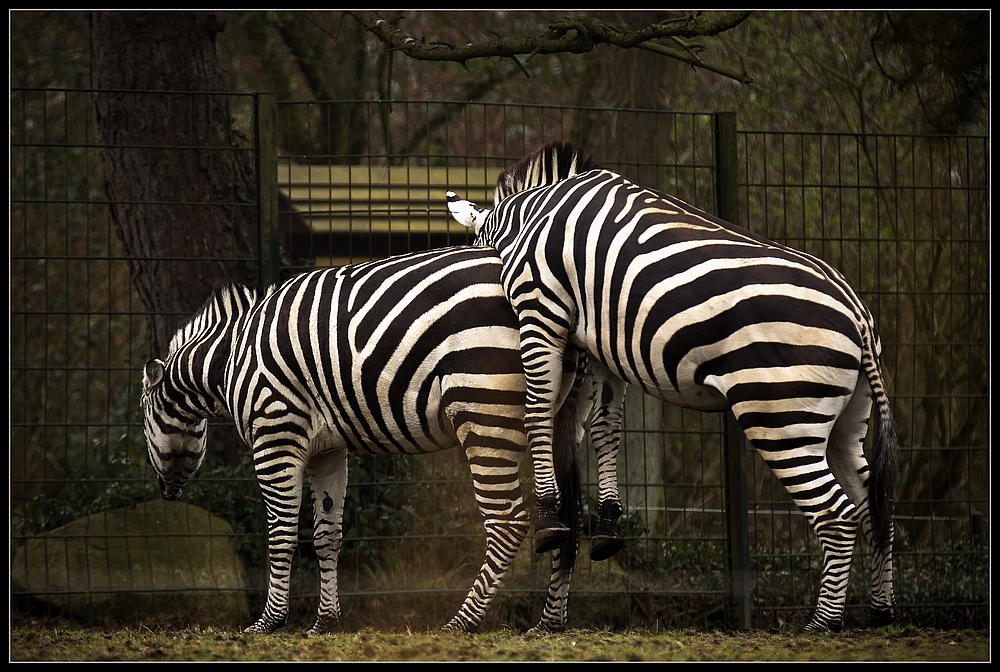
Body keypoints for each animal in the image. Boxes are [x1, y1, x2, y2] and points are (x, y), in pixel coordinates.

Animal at [137, 244, 612, 632]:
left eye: (143, 418)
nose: (167, 492)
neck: (230, 358)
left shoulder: (276, 432)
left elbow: (281, 532)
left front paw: (270, 622)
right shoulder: (328, 449)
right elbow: (327, 534)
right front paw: (325, 622)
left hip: (482, 407)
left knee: (508, 522)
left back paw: (461, 622)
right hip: (561, 416)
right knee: (569, 515)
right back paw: (550, 623)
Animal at [446, 139, 900, 632]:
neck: (528, 216)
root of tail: (857, 313)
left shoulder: (541, 308)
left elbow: (539, 410)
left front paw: (549, 519)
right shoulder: (603, 339)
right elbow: (606, 428)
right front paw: (608, 527)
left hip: (782, 415)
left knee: (837, 516)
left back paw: (822, 624)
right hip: (843, 420)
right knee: (873, 506)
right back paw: (881, 612)